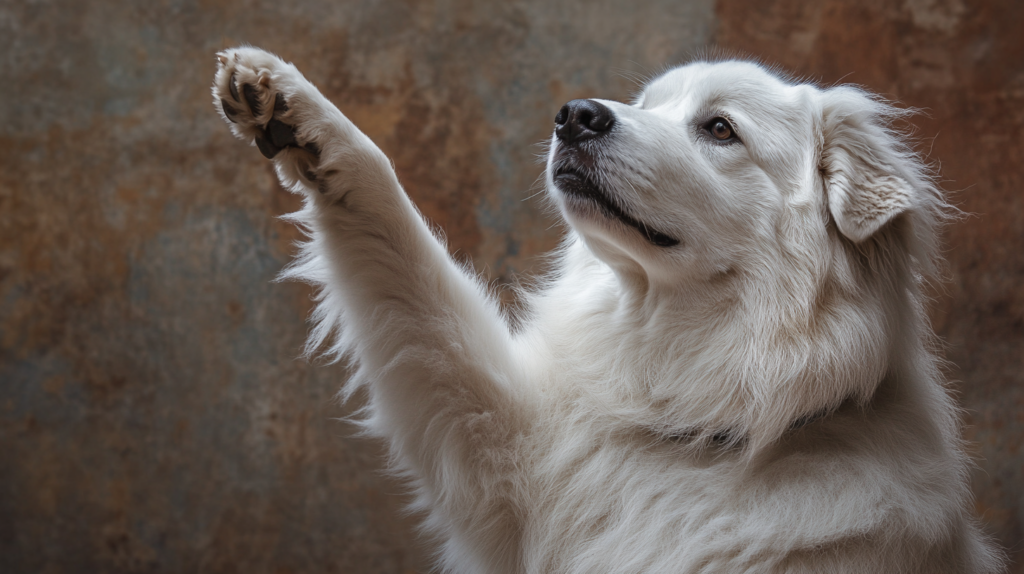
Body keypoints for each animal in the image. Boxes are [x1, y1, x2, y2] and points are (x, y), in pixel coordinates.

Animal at [211, 47, 1003, 568]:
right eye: (647, 106)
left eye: (720, 128)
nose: (575, 116)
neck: (712, 423)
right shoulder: (495, 449)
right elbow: (398, 238)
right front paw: (296, 111)